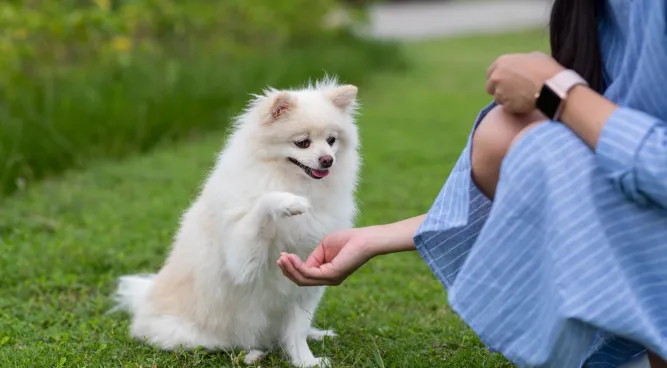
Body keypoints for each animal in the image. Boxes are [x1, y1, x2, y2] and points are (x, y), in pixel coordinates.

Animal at [114, 76, 362, 366]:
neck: (293, 181)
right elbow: (261, 204)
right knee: (223, 344)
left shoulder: (304, 285)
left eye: (332, 140)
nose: (327, 160)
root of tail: (143, 302)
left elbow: (297, 330)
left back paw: (316, 334)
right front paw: (288, 203)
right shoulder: (241, 261)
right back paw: (252, 353)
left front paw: (305, 360)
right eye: (303, 142)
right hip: (197, 335)